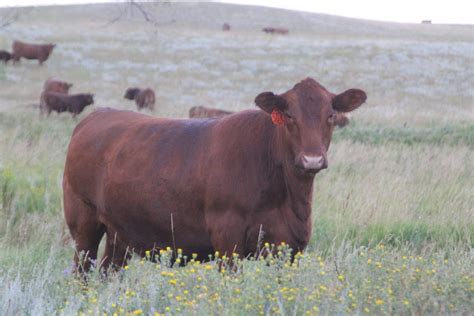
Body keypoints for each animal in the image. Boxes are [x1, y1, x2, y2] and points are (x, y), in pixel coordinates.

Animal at [63, 76, 366, 272]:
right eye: (289, 115)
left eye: (330, 115)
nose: (312, 159)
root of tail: (97, 116)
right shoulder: (227, 238)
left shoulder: (291, 247)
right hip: (83, 221)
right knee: (83, 271)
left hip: (120, 231)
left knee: (109, 272)